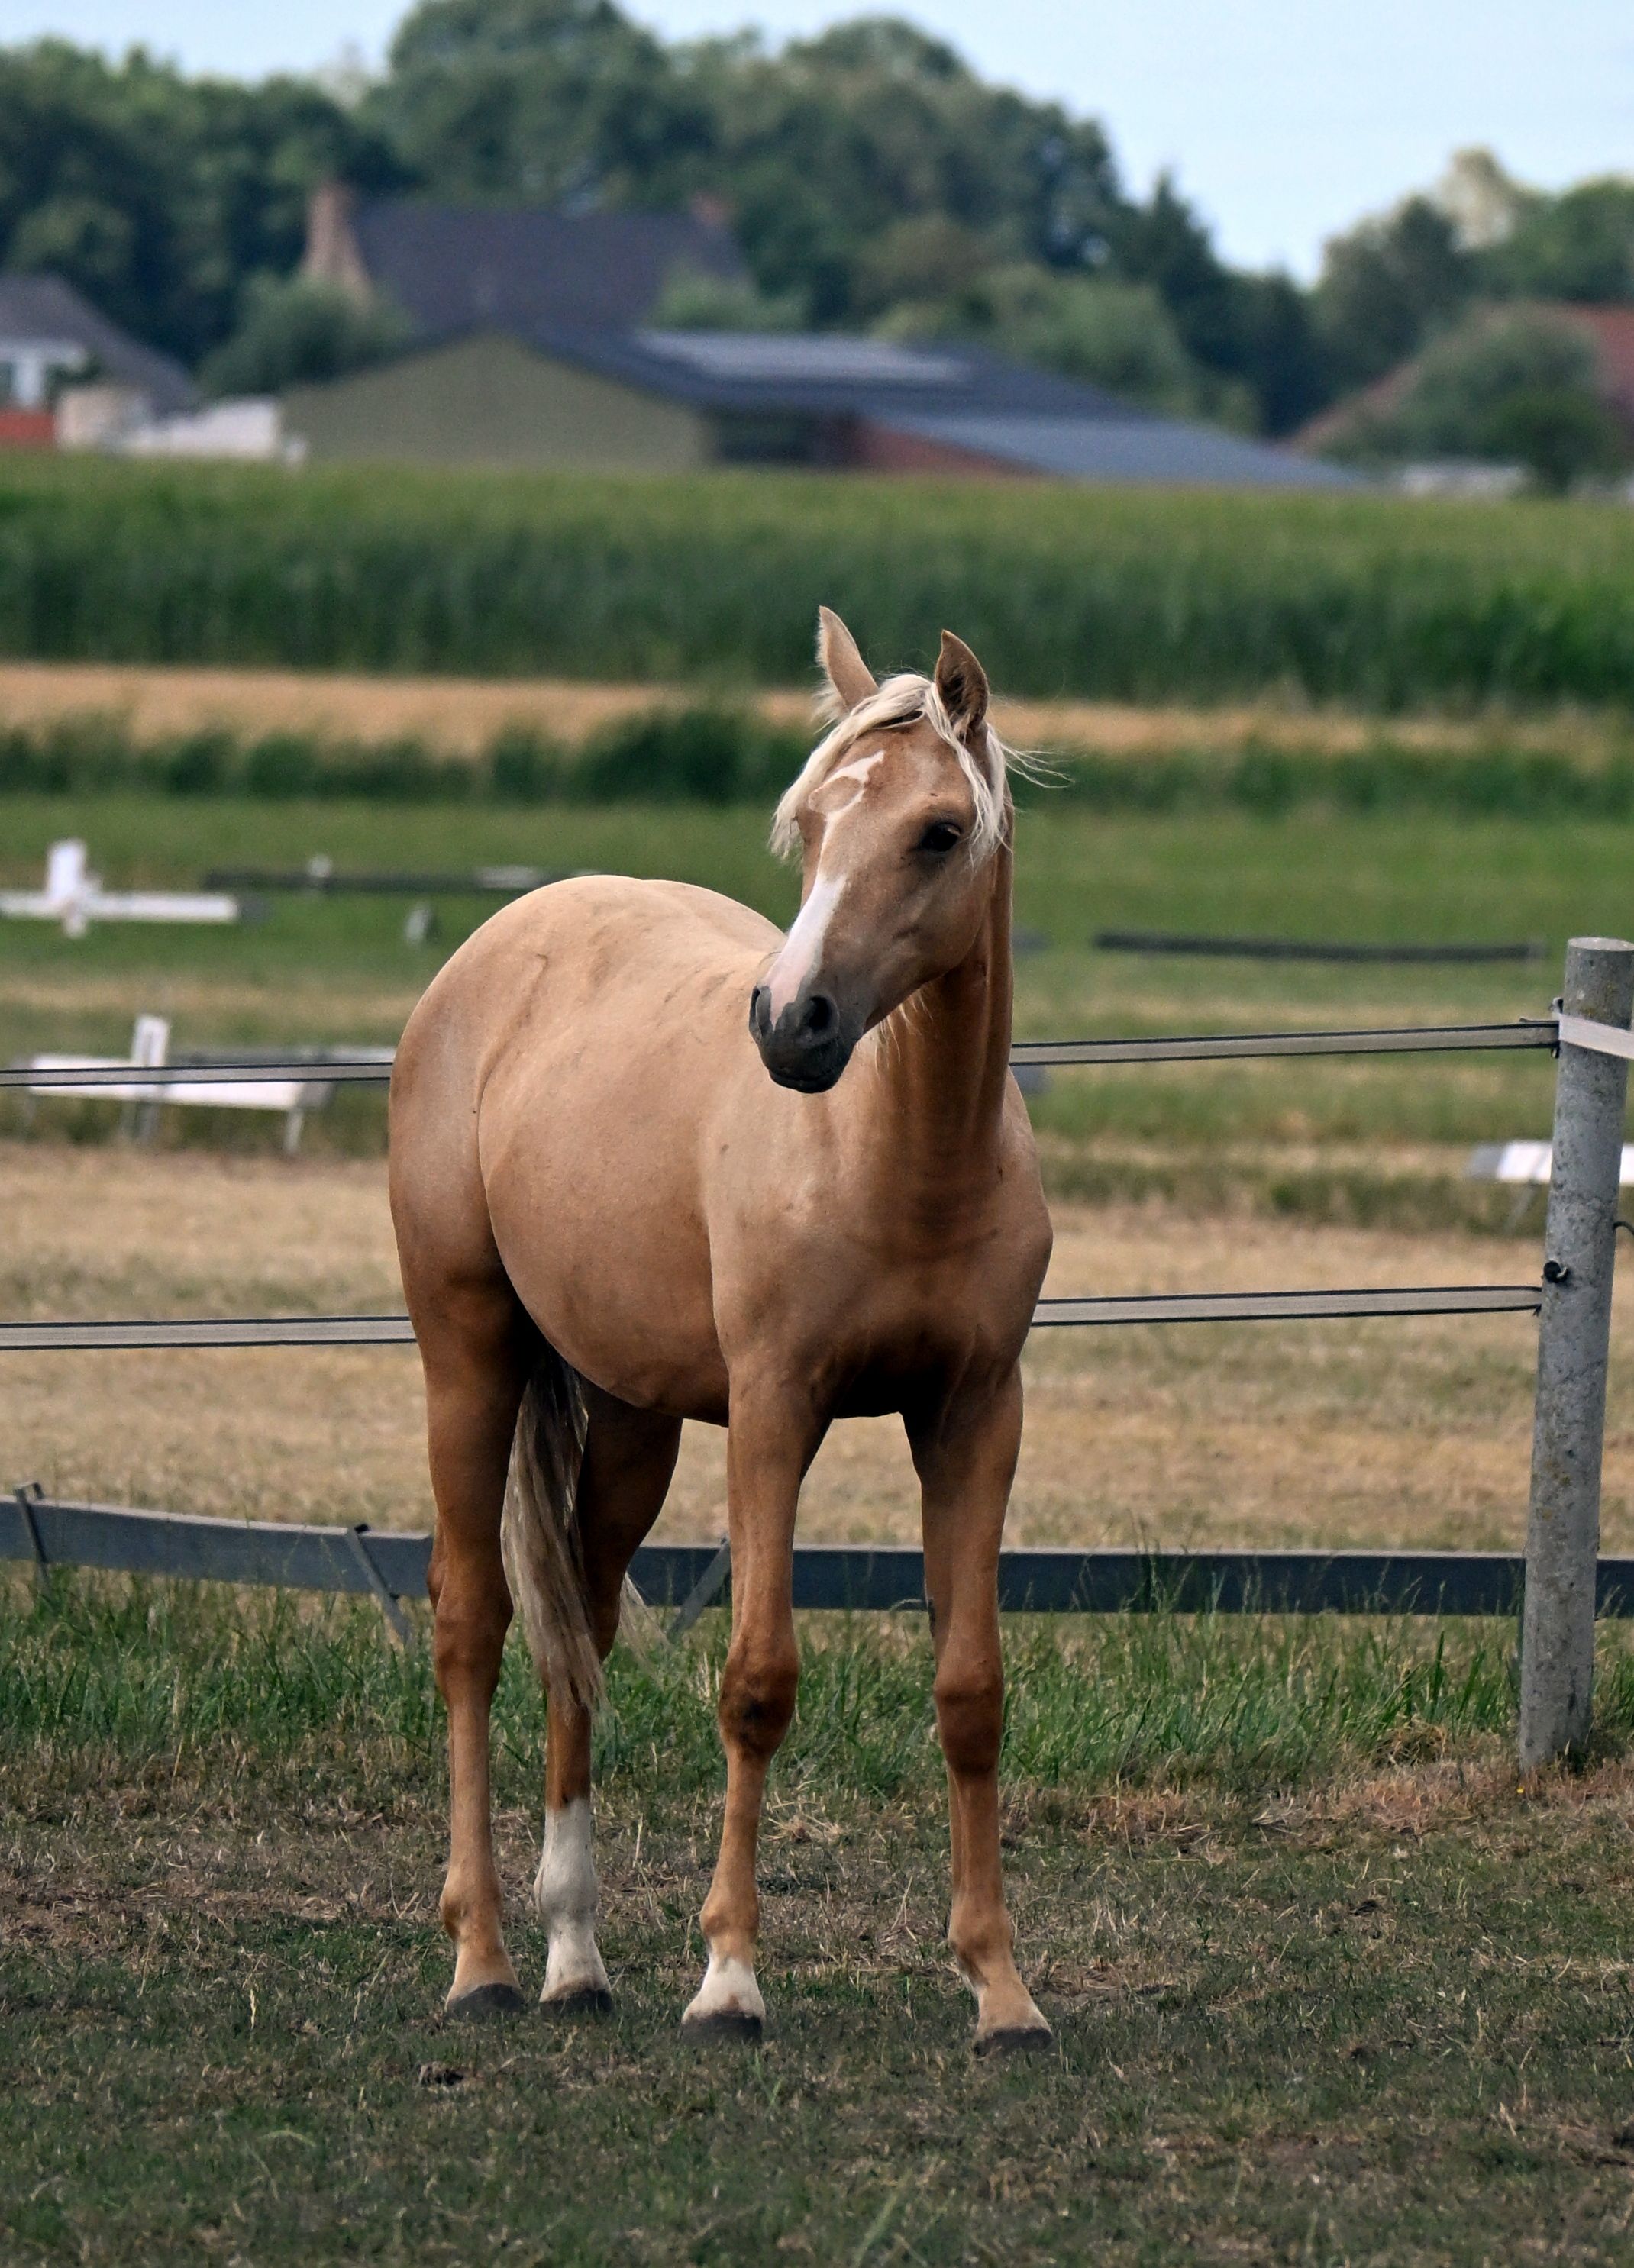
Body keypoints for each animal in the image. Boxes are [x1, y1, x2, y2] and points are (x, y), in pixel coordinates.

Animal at [388, 609, 1054, 2053]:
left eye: (937, 831)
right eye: (809, 824)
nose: (790, 1023)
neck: (895, 1155)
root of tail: (497, 944)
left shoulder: (977, 1416)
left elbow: (971, 1692)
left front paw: (1001, 1985)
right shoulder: (774, 1412)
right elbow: (757, 1681)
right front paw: (731, 1976)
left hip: (632, 1417)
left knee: (577, 1632)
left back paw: (576, 1956)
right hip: (467, 1356)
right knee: (473, 1623)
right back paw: (481, 1957)